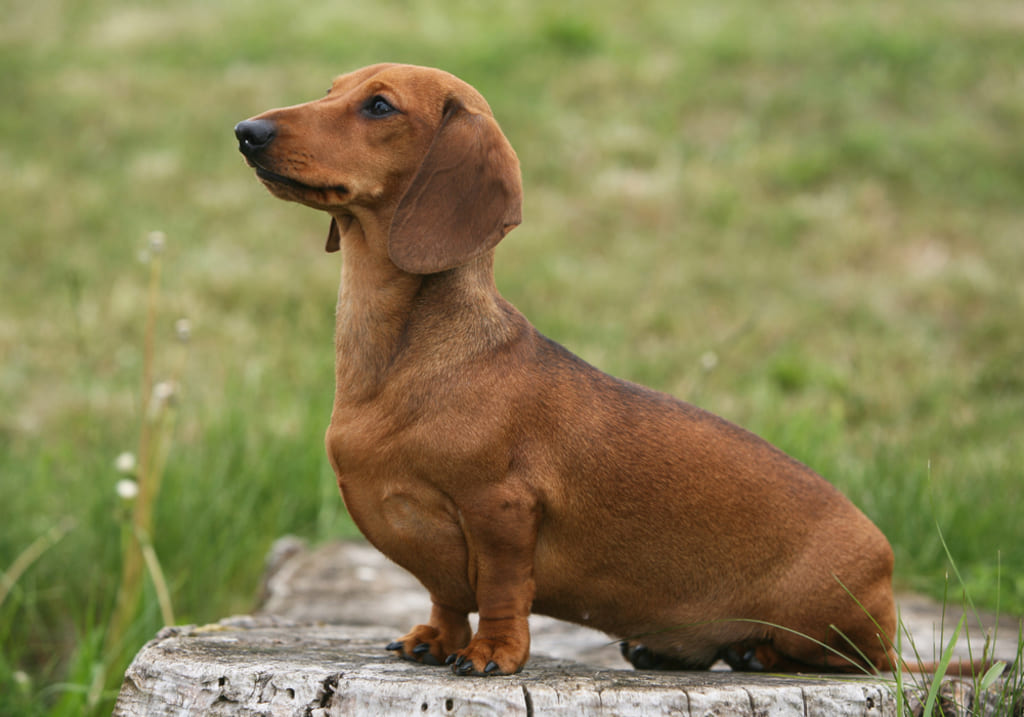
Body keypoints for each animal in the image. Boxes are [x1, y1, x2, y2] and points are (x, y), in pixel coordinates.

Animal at [234, 64, 905, 676]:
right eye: (330, 90)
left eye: (379, 105)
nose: (246, 130)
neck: (402, 358)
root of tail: (885, 561)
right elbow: (446, 597)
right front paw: (436, 640)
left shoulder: (503, 511)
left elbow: (501, 592)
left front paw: (492, 654)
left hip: (830, 624)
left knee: (862, 661)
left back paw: (757, 653)